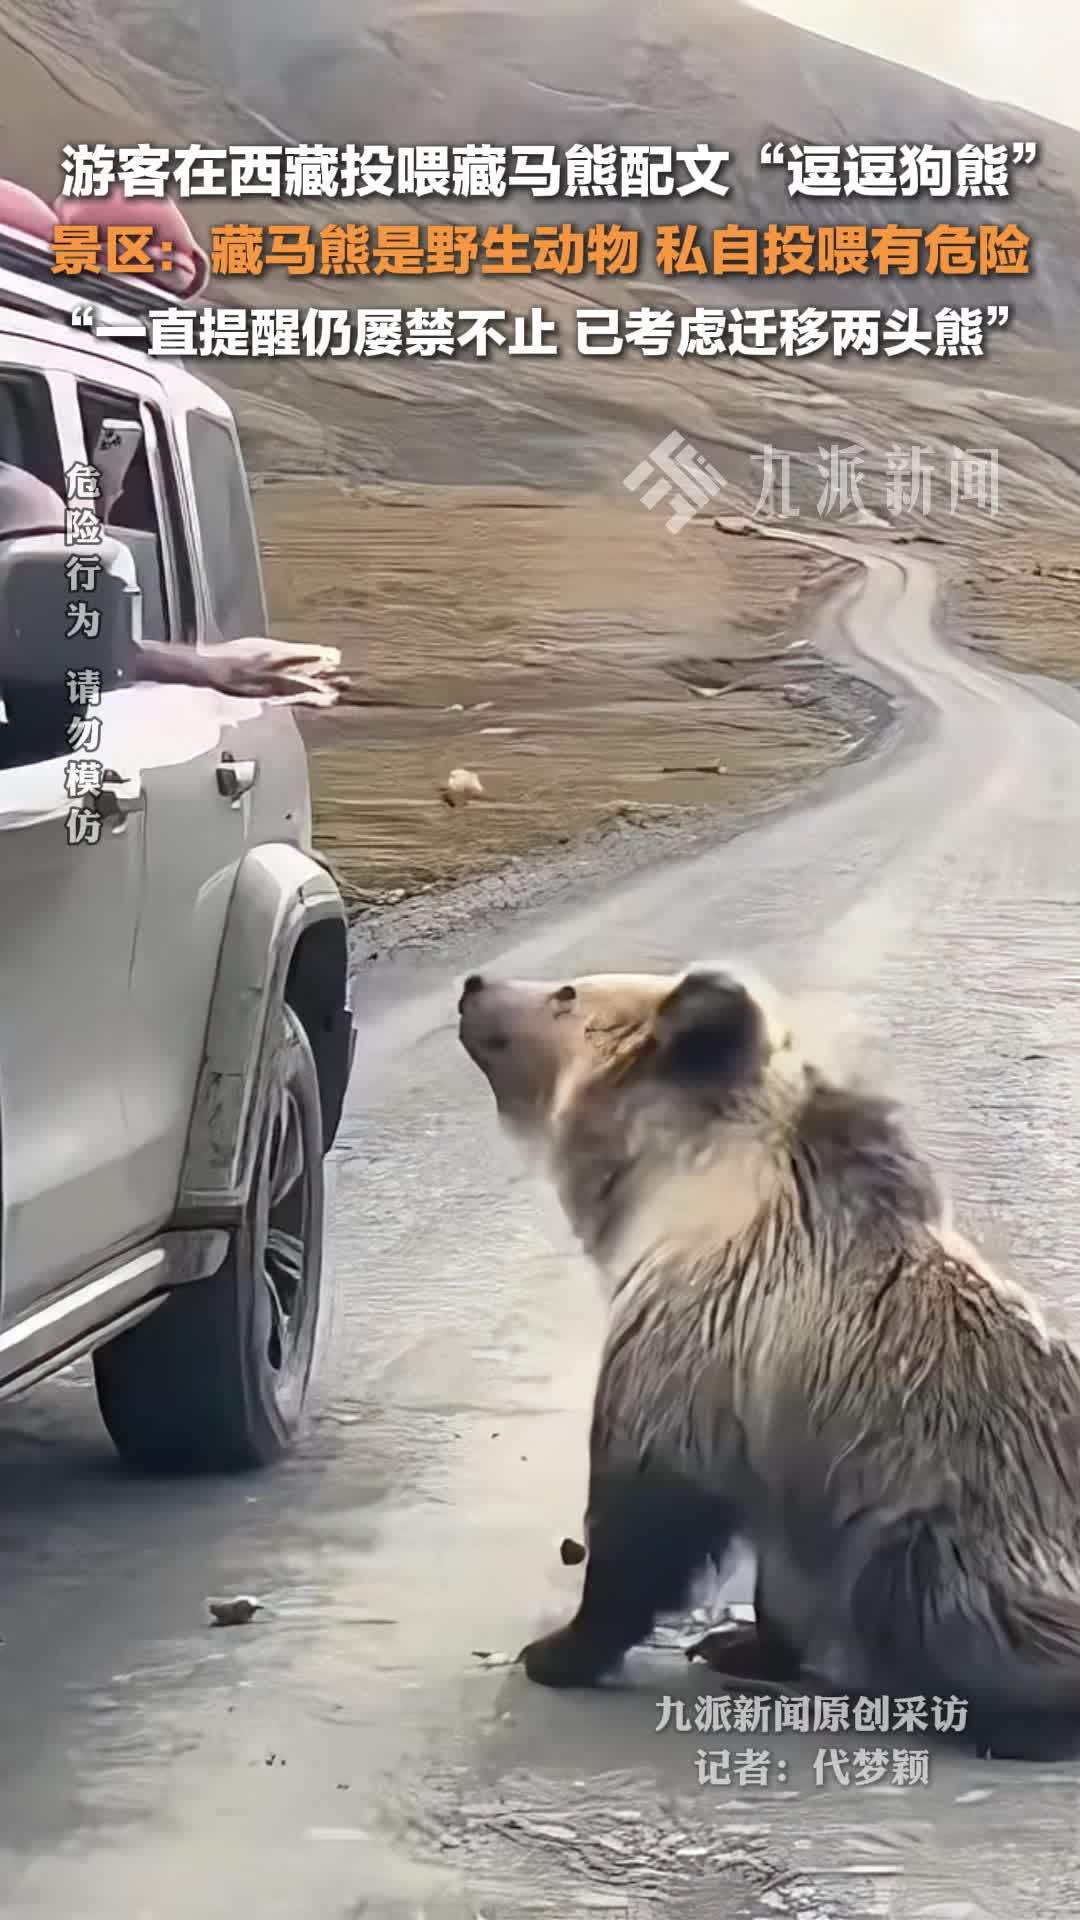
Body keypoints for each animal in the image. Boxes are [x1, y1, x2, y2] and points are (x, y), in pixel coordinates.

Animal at [455, 967, 1080, 1758]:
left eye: (568, 992)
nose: (476, 984)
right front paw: (742, 1642)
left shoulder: (691, 1349)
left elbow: (644, 1518)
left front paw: (563, 1649)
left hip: (947, 1538)